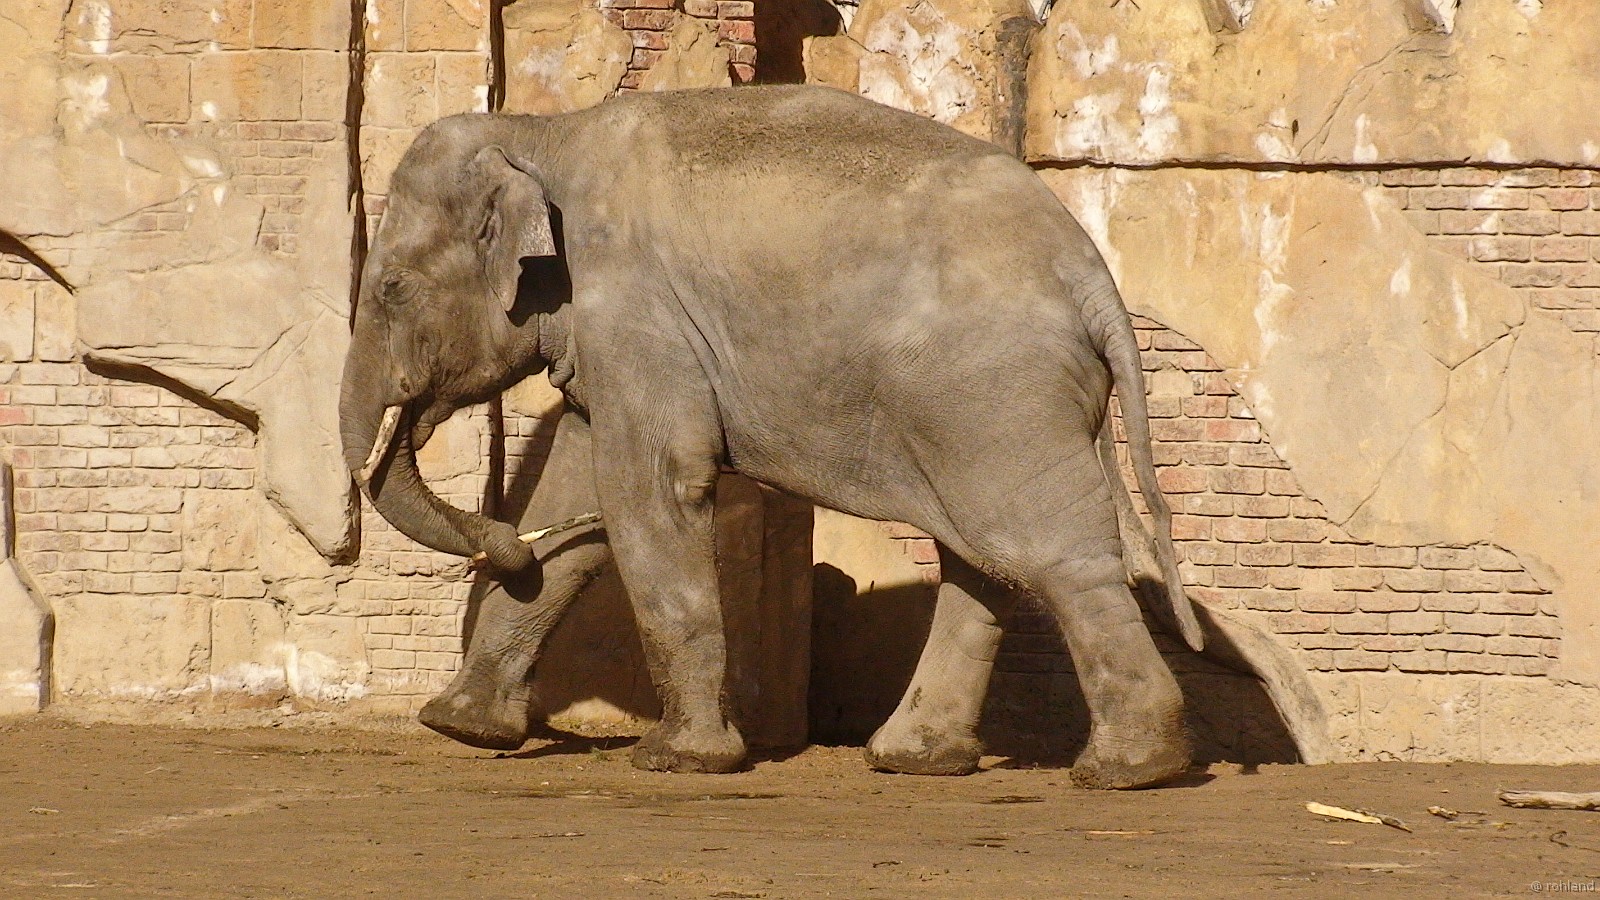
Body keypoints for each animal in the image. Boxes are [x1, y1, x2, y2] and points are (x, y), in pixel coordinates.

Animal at [340, 84, 1204, 789]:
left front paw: (678, 760)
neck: (540, 130)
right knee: (985, 555)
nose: (504, 549)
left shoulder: (634, 303)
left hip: (994, 391)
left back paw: (1129, 771)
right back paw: (917, 759)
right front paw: (460, 727)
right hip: (982, 405)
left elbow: (649, 486)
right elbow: (578, 485)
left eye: (393, 289)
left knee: (1048, 551)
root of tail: (1092, 277)